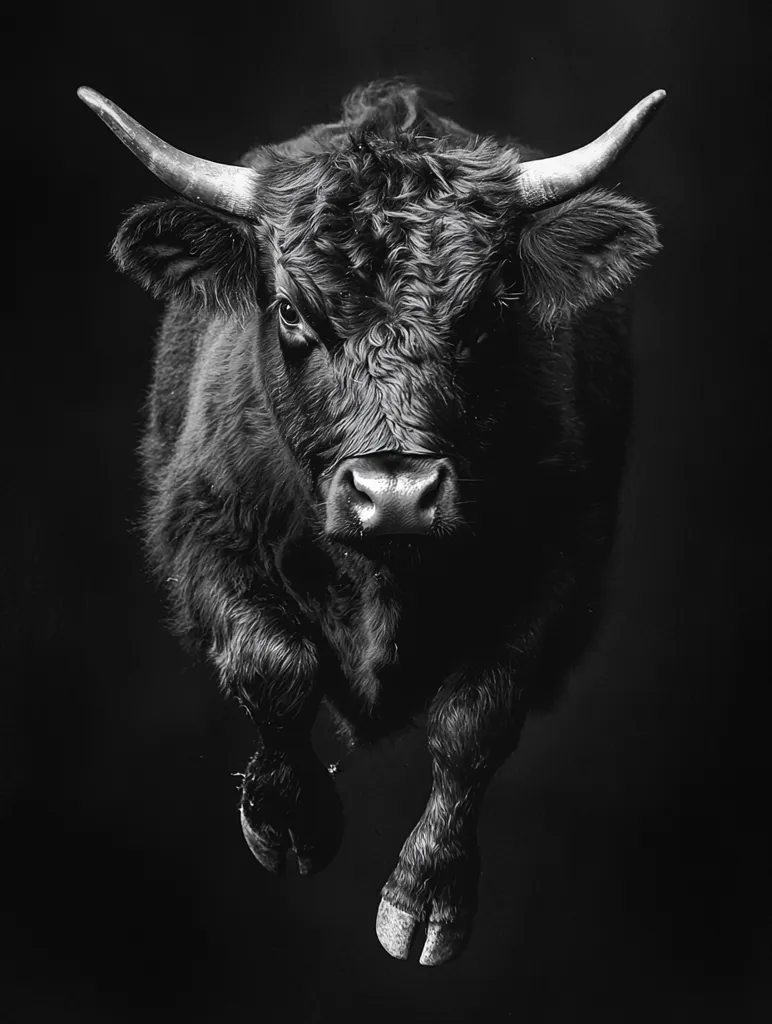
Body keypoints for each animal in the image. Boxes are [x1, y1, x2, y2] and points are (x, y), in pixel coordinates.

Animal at [78, 79, 665, 966]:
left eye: (487, 312)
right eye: (290, 310)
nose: (394, 491)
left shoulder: (563, 557)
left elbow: (475, 717)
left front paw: (425, 899)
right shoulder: (197, 526)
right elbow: (272, 662)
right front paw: (291, 823)